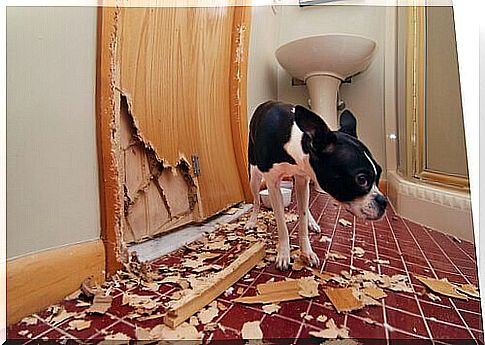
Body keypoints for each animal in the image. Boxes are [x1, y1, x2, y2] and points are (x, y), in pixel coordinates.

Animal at [246, 101, 386, 270]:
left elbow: (302, 216)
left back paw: (312, 222)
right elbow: (281, 224)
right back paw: (252, 220)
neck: (293, 139)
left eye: (379, 173)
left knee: (305, 206)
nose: (384, 202)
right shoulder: (273, 185)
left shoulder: (302, 179)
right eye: (361, 179)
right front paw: (284, 254)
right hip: (254, 175)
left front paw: (307, 252)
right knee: (256, 201)